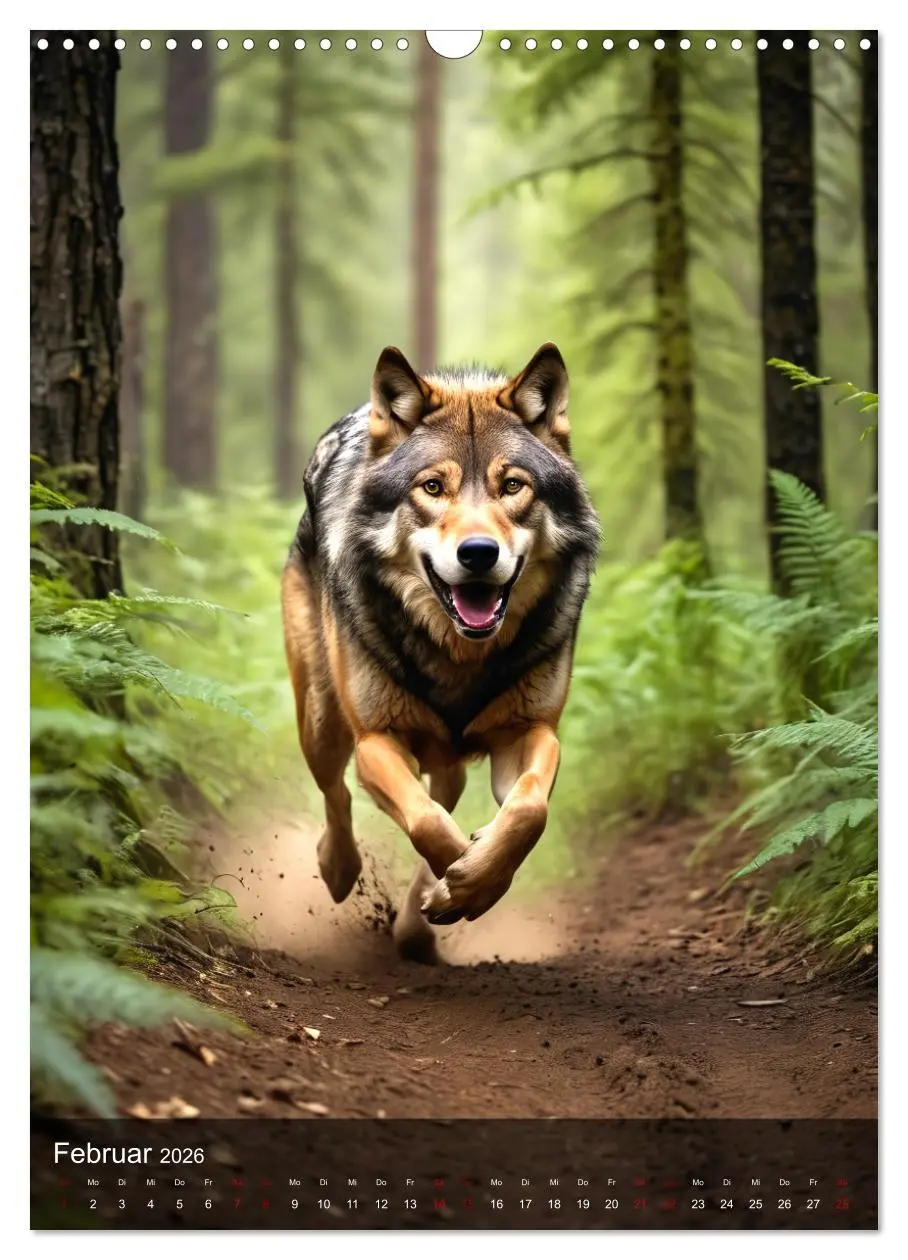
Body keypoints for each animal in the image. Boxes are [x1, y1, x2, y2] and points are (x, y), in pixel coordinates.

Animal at [281, 343, 600, 962]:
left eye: (513, 486)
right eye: (432, 488)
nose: (478, 553)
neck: (459, 657)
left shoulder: (530, 731)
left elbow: (527, 810)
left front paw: (470, 883)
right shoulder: (377, 739)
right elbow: (427, 824)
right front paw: (463, 882)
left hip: (440, 752)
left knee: (445, 794)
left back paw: (414, 926)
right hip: (323, 723)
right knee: (336, 791)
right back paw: (340, 869)